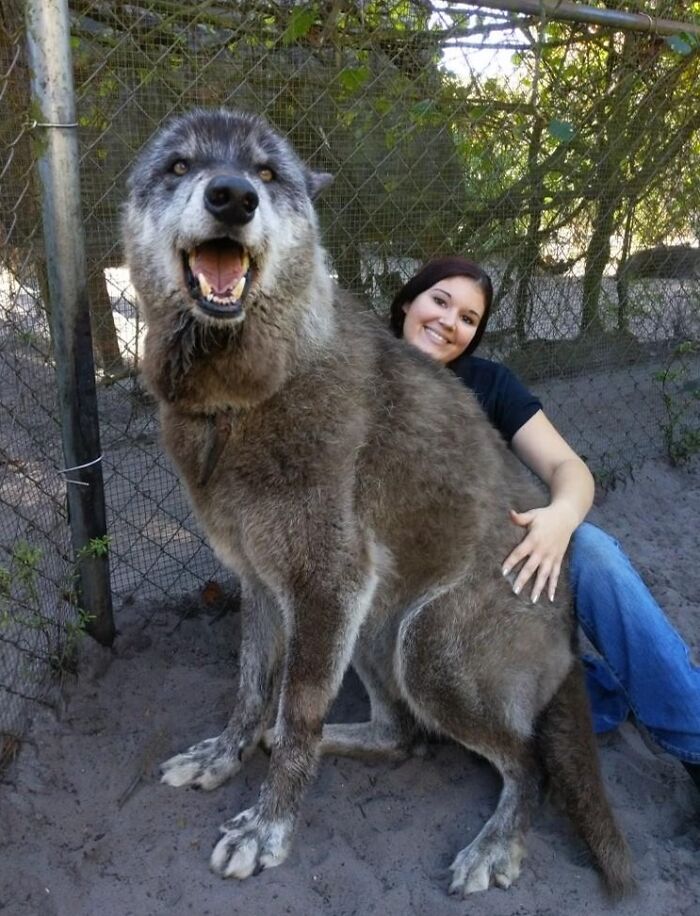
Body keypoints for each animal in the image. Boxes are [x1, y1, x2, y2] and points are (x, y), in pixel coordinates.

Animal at [122, 108, 633, 897]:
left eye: (267, 173)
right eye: (178, 166)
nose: (233, 197)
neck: (244, 396)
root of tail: (570, 629)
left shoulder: (326, 584)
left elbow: (297, 709)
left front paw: (269, 830)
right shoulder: (264, 584)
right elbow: (250, 689)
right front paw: (225, 755)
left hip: (425, 646)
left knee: (528, 764)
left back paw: (494, 844)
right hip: (372, 626)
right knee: (400, 736)